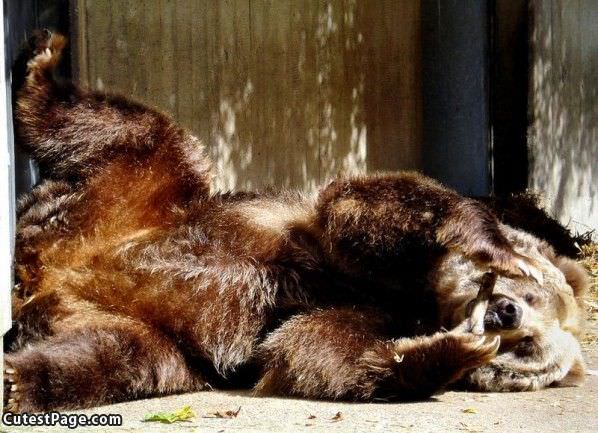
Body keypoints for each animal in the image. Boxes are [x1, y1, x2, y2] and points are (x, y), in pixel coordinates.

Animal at [1, 31, 592, 412]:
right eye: (532, 295)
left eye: (528, 350)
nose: (505, 314)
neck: (424, 300)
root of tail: (46, 270)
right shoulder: (336, 249)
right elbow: (364, 205)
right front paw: (497, 247)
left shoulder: (358, 313)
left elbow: (310, 350)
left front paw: (450, 351)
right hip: (142, 196)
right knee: (133, 132)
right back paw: (42, 62)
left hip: (148, 336)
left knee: (112, 357)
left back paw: (19, 379)